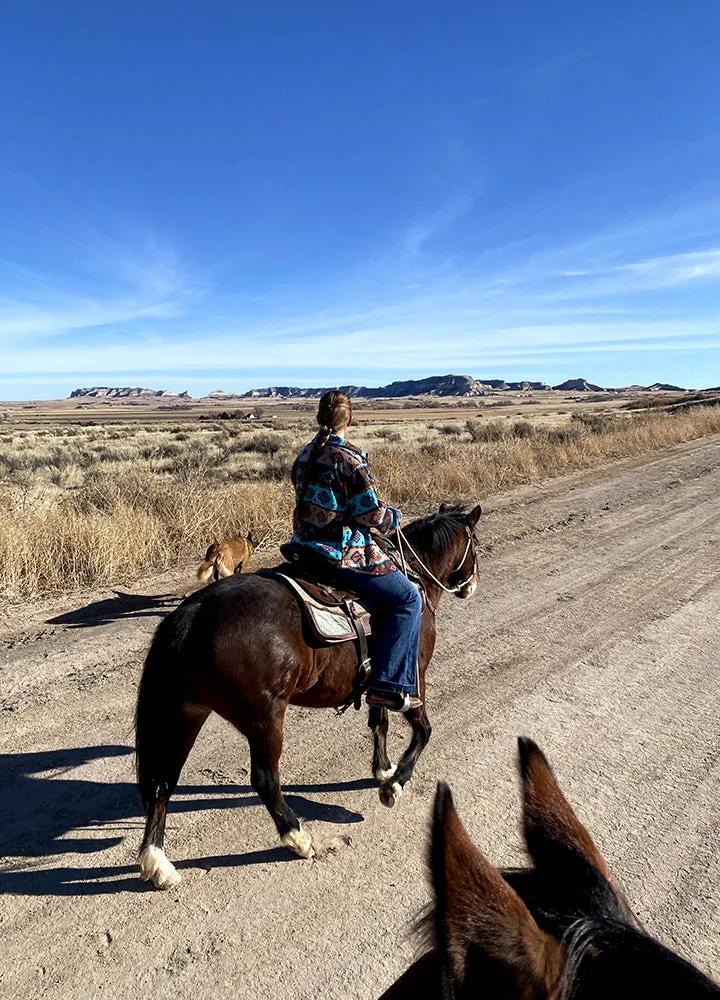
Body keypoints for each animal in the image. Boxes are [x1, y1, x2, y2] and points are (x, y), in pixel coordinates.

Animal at [136, 504, 484, 888]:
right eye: (476, 545)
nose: (471, 586)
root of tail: (194, 614)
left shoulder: (379, 684)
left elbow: (379, 723)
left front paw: (382, 769)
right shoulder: (412, 676)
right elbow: (422, 731)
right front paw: (394, 785)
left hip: (186, 713)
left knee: (162, 781)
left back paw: (158, 863)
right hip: (264, 718)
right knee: (264, 779)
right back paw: (298, 838)